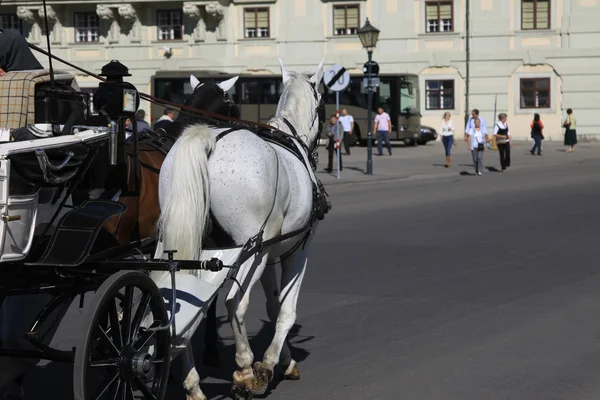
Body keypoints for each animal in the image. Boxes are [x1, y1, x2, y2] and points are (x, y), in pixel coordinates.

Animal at [155, 59, 324, 400]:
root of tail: (208, 140)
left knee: (181, 305)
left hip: (191, 247)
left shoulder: (270, 253)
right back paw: (245, 370)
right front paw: (268, 364)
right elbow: (286, 311)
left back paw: (193, 384)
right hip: (251, 253)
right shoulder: (296, 249)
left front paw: (284, 361)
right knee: (235, 302)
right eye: (323, 105)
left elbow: (273, 305)